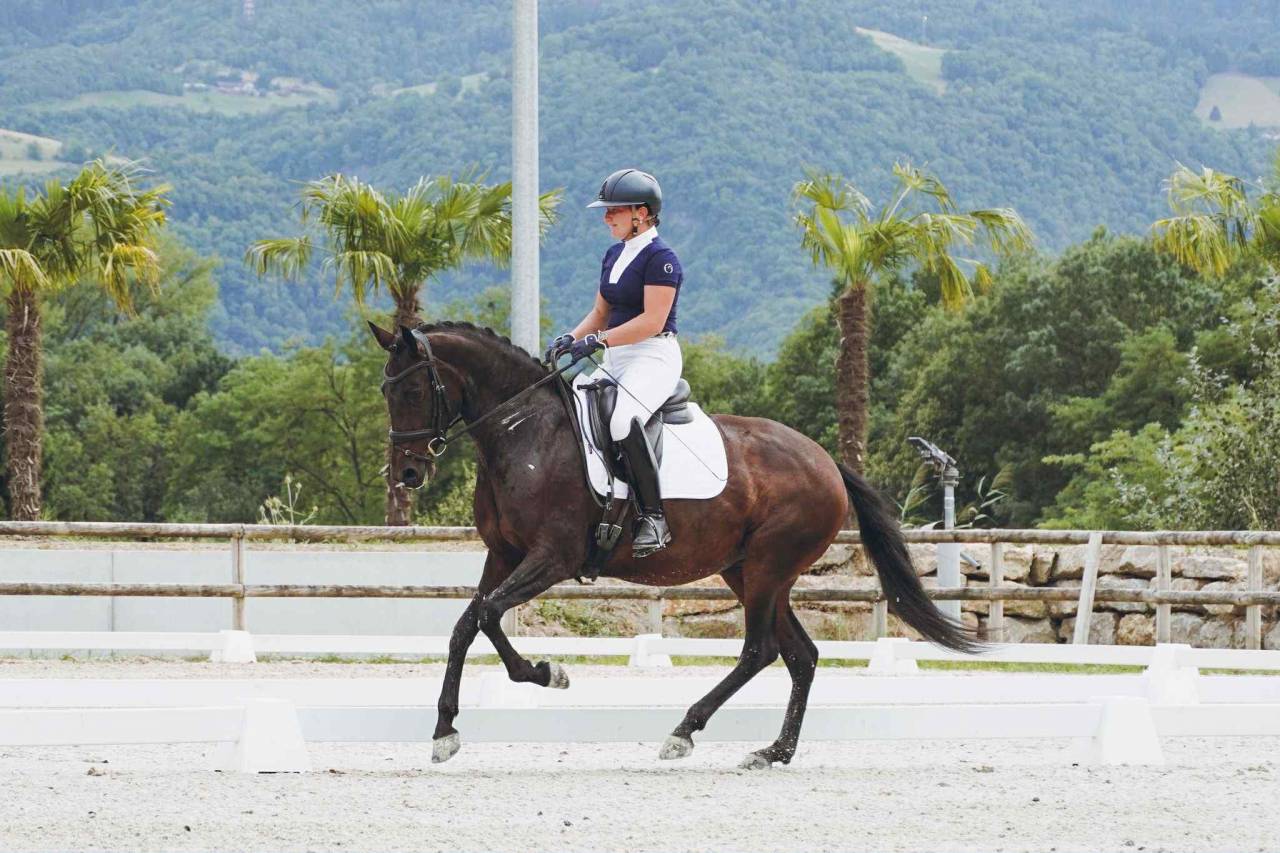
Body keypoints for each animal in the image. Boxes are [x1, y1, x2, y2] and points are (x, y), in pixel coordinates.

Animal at [368, 320, 976, 769]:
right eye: (384, 390)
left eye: (414, 389)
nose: (407, 474)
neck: (525, 433)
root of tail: (827, 461)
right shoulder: (504, 555)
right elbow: (466, 624)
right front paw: (444, 730)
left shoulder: (552, 558)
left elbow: (488, 616)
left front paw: (547, 673)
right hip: (748, 570)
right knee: (800, 655)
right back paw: (773, 752)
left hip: (767, 567)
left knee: (760, 650)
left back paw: (685, 731)